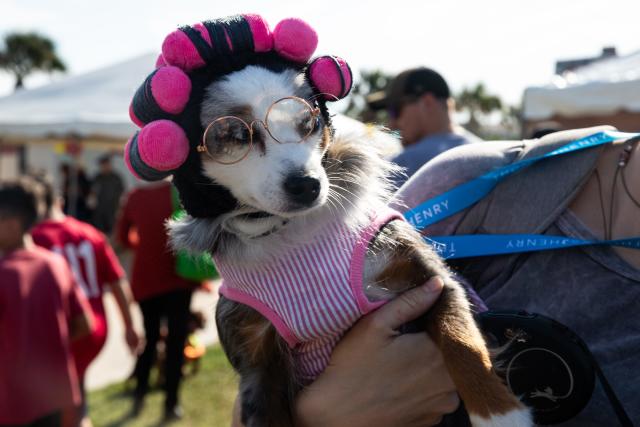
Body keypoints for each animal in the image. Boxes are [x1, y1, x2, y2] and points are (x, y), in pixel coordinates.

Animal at [168, 65, 532, 426]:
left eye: (309, 123)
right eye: (234, 135)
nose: (307, 185)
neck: (292, 232)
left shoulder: (433, 280)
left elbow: (461, 340)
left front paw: (501, 414)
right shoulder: (257, 367)